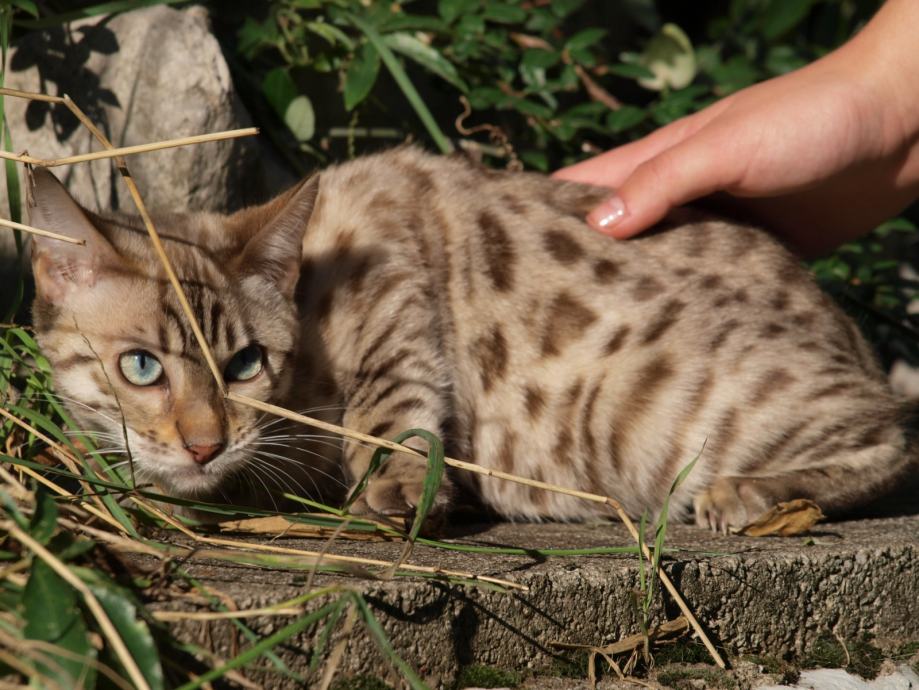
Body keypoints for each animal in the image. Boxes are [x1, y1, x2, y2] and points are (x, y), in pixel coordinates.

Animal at [25, 149, 916, 528]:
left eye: (245, 363)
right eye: (142, 368)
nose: (204, 445)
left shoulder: (392, 256)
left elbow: (392, 400)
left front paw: (397, 487)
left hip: (660, 408)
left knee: (891, 439)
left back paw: (749, 495)